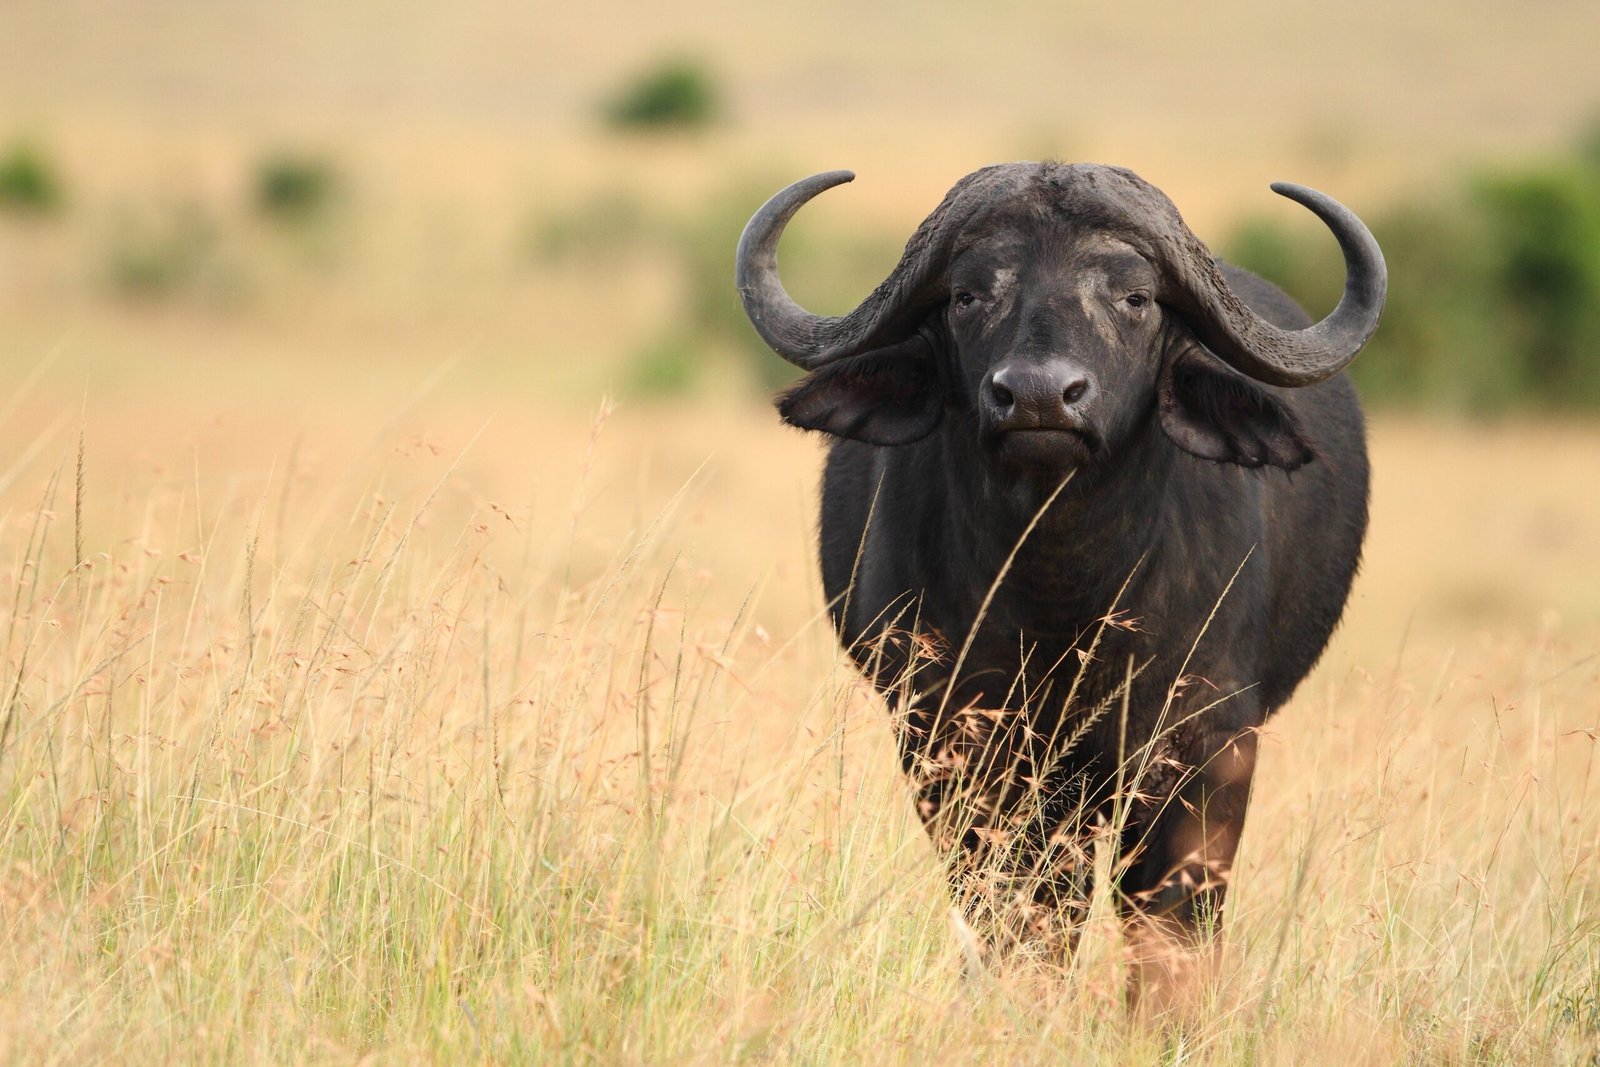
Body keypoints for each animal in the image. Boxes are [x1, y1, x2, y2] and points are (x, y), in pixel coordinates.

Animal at [735, 162, 1385, 1010]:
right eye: (968, 294)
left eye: (1135, 297)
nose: (1040, 396)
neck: (1062, 593)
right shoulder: (952, 741)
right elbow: (1018, 908)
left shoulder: (1205, 744)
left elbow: (1170, 916)